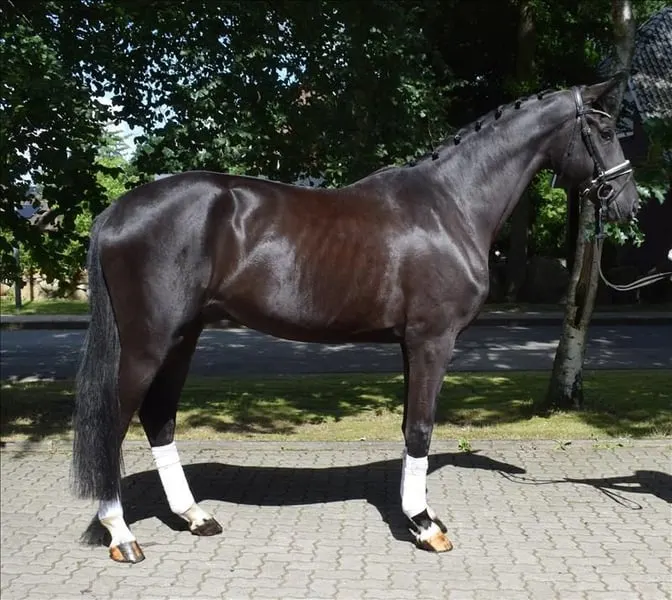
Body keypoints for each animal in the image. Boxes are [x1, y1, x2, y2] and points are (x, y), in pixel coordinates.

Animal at [72, 76, 638, 563]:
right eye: (606, 131)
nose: (628, 202)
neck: (450, 205)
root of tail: (116, 211)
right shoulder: (433, 340)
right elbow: (422, 427)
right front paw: (425, 526)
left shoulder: (411, 344)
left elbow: (410, 427)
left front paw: (416, 515)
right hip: (148, 343)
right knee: (114, 424)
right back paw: (121, 535)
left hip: (183, 337)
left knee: (159, 418)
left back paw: (194, 516)